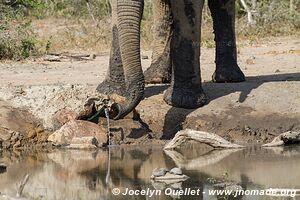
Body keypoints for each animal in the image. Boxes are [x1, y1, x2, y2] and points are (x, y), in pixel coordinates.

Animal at [97, 0, 245, 119]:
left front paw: (183, 102)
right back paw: (155, 77)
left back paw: (227, 78)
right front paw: (109, 92)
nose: (115, 108)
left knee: (221, 5)